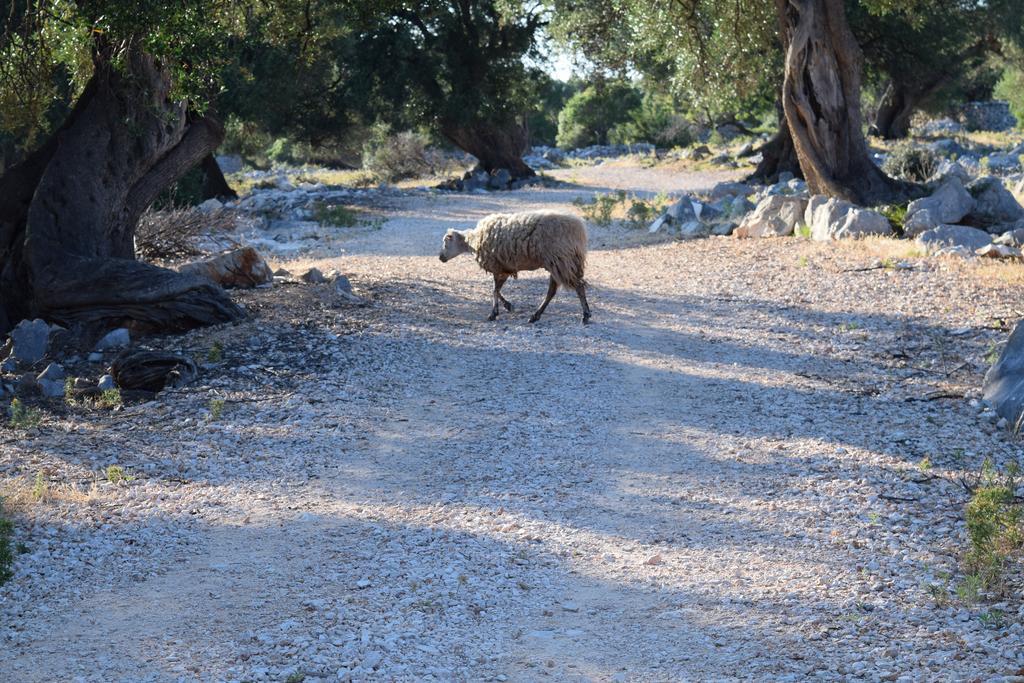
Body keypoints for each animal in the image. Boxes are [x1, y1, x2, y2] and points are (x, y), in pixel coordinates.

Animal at [434, 209, 593, 325]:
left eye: (445, 243)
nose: (440, 258)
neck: (473, 241)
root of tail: (579, 229)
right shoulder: (504, 267)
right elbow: (496, 290)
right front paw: (507, 306)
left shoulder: (497, 265)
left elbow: (494, 290)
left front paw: (495, 313)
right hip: (557, 262)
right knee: (552, 292)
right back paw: (535, 316)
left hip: (561, 260)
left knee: (578, 287)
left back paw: (585, 315)